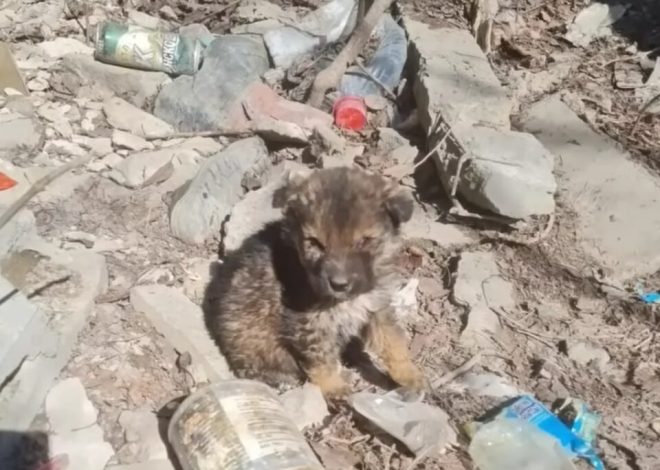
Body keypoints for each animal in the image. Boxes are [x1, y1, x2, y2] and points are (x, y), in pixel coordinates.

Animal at [204, 166, 426, 396]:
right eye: (315, 243)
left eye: (364, 241)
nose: (338, 284)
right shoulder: (309, 323)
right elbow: (321, 361)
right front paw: (334, 388)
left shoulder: (377, 307)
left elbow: (393, 341)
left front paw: (408, 373)